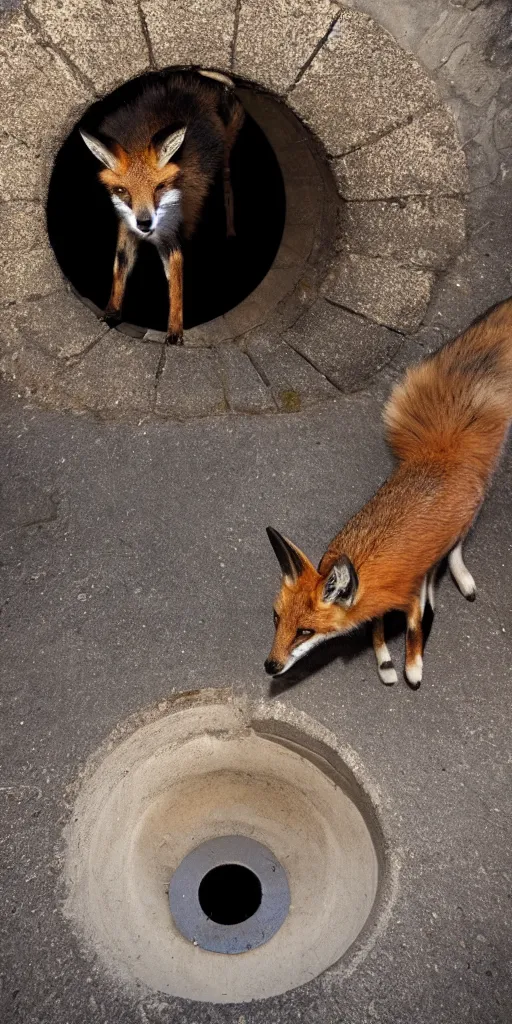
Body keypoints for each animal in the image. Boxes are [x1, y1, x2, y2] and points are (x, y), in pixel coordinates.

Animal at [80, 72, 244, 346]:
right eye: (123, 191)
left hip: (226, 155)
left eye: (158, 188)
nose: (145, 223)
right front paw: (111, 311)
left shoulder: (171, 236)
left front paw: (175, 331)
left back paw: (231, 230)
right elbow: (120, 268)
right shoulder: (127, 229)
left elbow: (176, 283)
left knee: (228, 185)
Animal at [264, 299, 512, 692]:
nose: (270, 666)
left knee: (455, 549)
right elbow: (377, 627)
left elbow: (412, 629)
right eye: (276, 619)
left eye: (305, 631)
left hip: (464, 522)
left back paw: (460, 577)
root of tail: (443, 450)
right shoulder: (380, 603)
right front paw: (385, 662)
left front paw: (413, 666)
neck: (366, 572)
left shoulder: (407, 597)